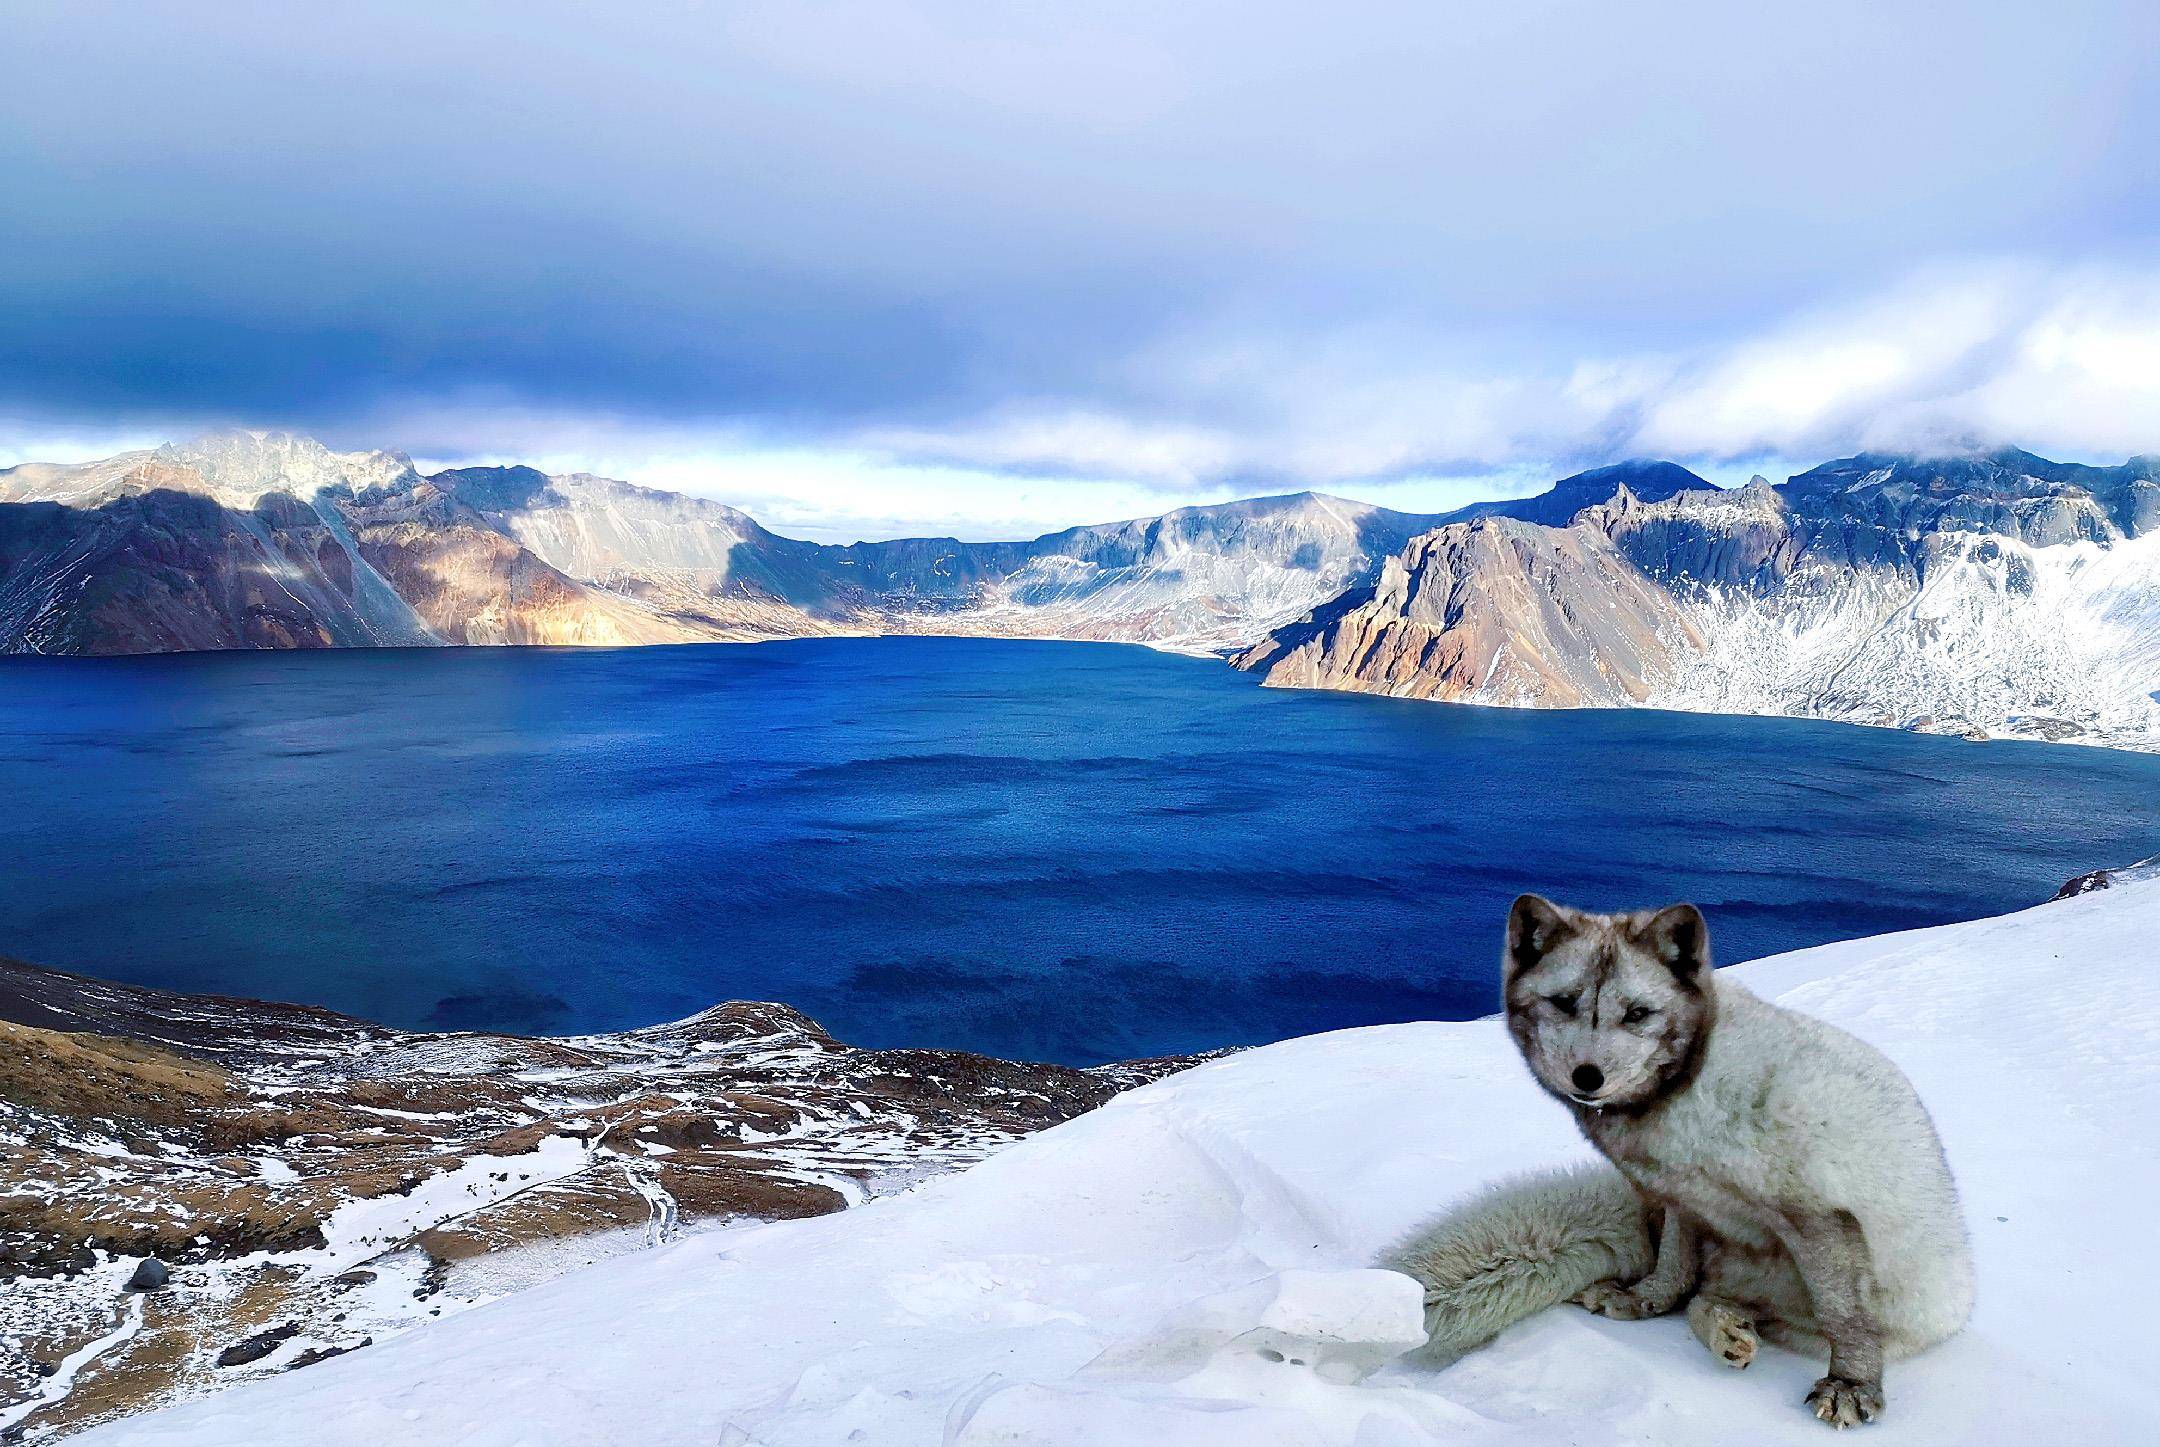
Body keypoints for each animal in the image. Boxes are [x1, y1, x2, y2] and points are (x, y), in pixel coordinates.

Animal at [1382, 894, 1978, 1425]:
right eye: (1565, 1002)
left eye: (1638, 1014)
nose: (1588, 1077)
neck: (1686, 1086)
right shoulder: (1679, 1194)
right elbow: (1672, 1264)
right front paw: (1644, 1300)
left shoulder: (1818, 1214)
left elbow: (1845, 1316)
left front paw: (1852, 1385)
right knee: (1701, 1296)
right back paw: (1724, 1330)